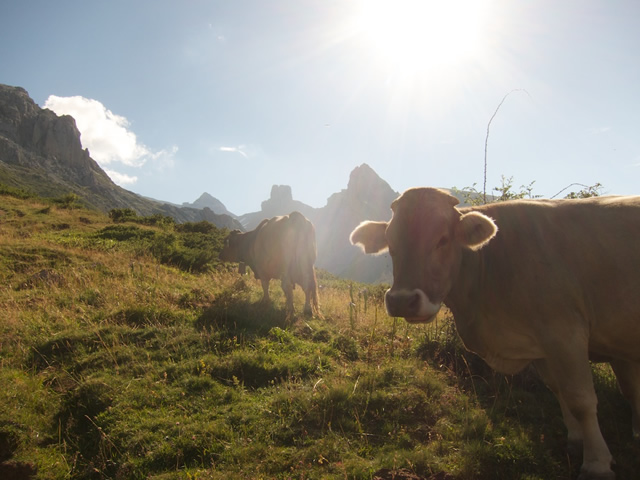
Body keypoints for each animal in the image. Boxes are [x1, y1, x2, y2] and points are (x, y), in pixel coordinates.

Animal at [350, 188, 640, 480]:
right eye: (390, 243)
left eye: (443, 239)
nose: (402, 301)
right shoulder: (543, 345)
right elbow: (560, 390)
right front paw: (576, 440)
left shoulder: (566, 333)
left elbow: (580, 399)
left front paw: (596, 463)